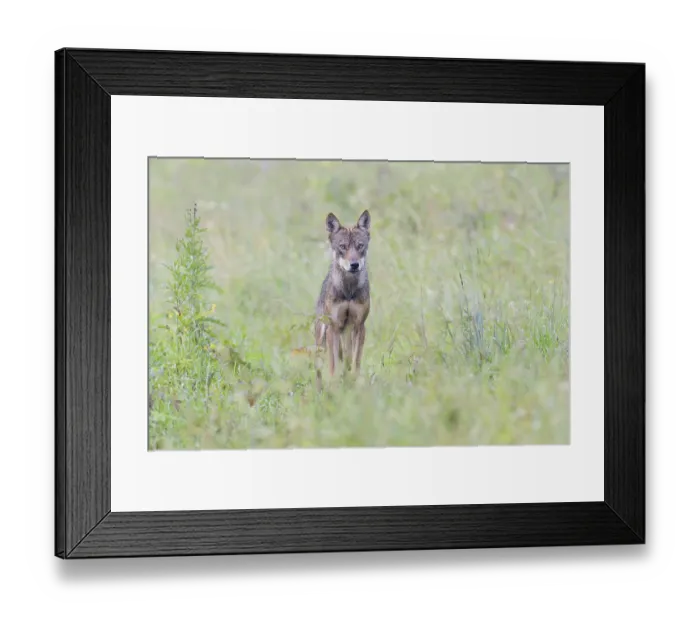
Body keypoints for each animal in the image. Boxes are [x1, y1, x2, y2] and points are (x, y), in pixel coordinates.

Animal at [314, 210, 371, 388]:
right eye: (343, 246)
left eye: (360, 245)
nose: (354, 264)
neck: (348, 291)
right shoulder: (333, 327)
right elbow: (333, 364)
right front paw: (334, 384)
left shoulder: (360, 326)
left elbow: (356, 360)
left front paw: (355, 380)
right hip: (322, 337)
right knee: (320, 368)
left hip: (347, 334)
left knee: (346, 357)